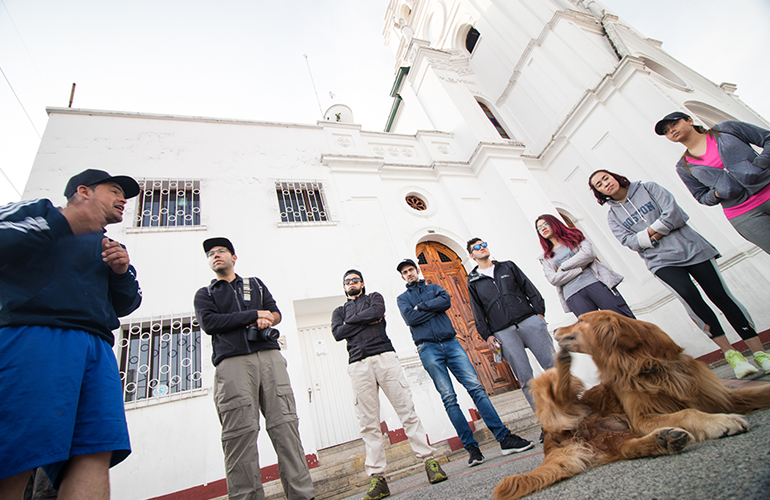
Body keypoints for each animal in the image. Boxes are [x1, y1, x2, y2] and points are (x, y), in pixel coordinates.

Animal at [492, 310, 768, 498]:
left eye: (581, 320)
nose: (555, 329)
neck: (646, 366)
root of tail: (551, 441)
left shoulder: (720, 395)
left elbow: (758, 391)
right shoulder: (642, 418)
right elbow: (689, 412)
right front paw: (721, 421)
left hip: (613, 435)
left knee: (625, 449)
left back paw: (663, 440)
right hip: (568, 412)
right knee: (553, 393)